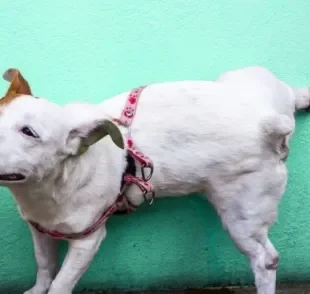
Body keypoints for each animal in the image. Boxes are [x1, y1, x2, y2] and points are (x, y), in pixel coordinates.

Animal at [0, 66, 306, 294]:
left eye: (29, 132)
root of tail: (267, 121)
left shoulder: (88, 240)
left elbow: (60, 283)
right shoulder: (40, 229)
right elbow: (44, 268)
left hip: (241, 216)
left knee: (265, 260)